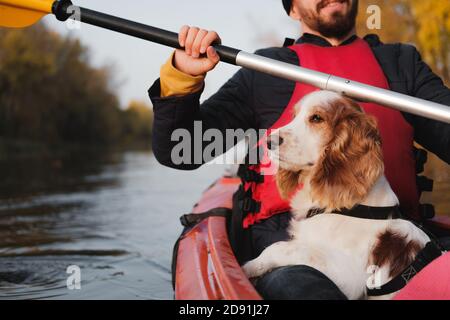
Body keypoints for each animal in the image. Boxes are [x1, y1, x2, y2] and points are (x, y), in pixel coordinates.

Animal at [244, 90, 434, 300]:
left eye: (316, 118)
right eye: (294, 116)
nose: (268, 142)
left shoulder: (352, 275)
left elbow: (282, 247)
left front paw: (249, 266)